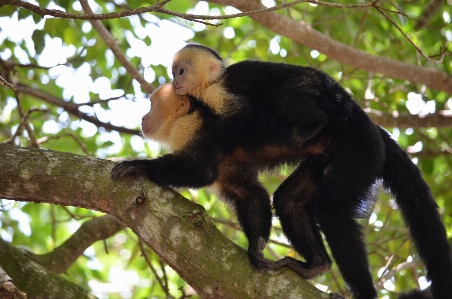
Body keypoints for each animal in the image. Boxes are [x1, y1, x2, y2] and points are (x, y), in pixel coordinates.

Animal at [112, 45, 452, 299]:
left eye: (151, 104)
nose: (143, 118)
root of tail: (365, 122)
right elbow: (250, 193)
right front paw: (256, 246)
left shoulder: (204, 122)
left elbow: (202, 169)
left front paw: (139, 165)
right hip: (328, 154)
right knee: (289, 200)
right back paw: (316, 265)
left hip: (358, 150)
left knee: (332, 212)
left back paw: (362, 292)